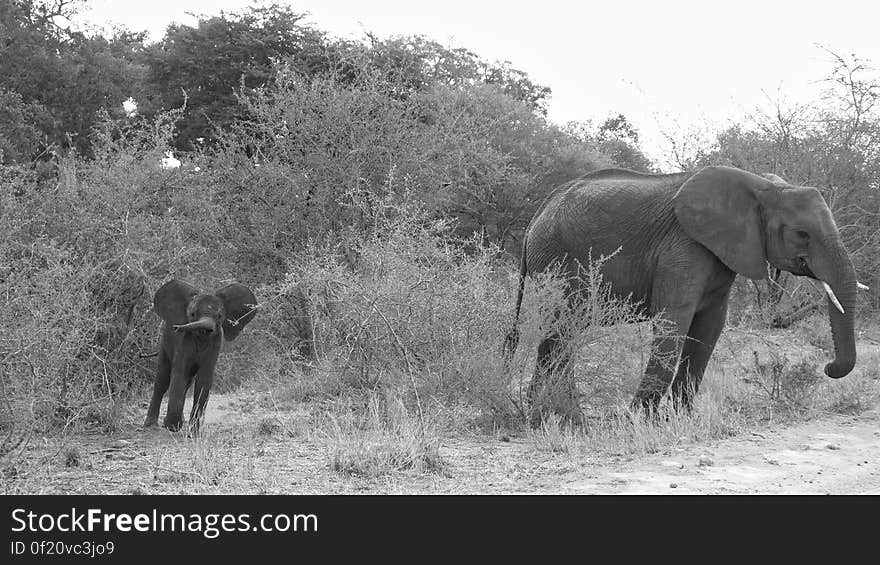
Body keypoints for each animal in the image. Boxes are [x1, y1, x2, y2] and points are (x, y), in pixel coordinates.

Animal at [506, 163, 864, 418]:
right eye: (802, 234)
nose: (828, 367)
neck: (763, 186)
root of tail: (535, 217)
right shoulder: (683, 246)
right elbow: (674, 319)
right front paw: (640, 422)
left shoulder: (721, 253)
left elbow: (710, 327)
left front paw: (680, 419)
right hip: (554, 258)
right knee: (562, 330)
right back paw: (563, 415)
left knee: (561, 332)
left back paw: (554, 412)